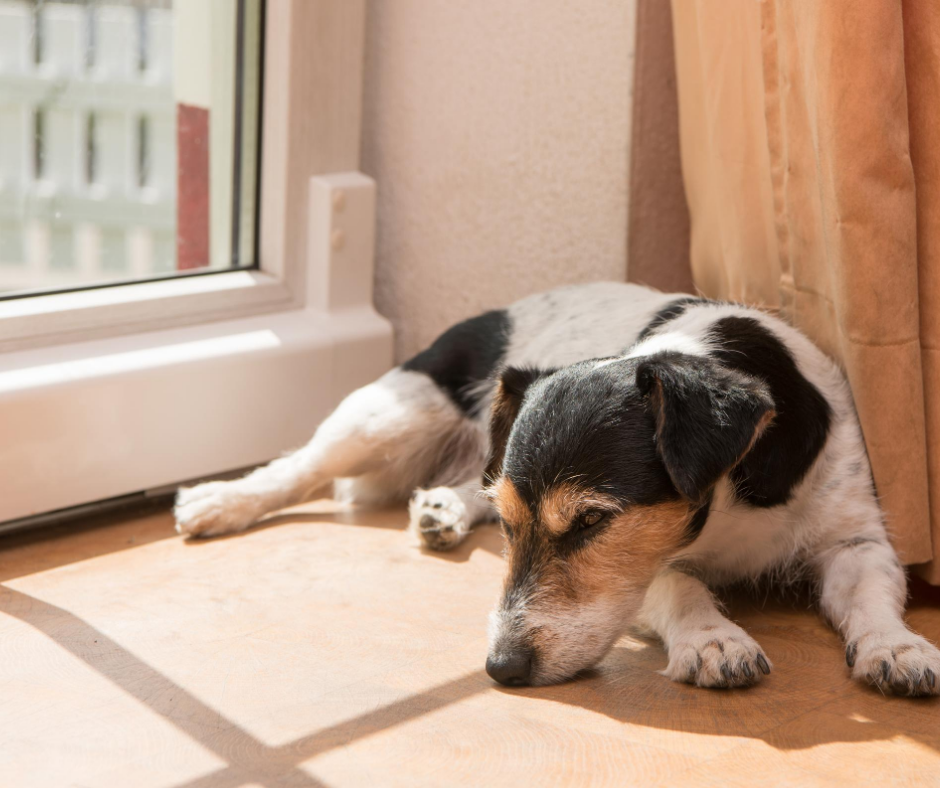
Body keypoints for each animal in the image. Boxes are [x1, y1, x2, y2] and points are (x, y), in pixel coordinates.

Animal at [174, 282, 940, 696]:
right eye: (520, 529)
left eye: (591, 522)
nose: (500, 667)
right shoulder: (645, 574)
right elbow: (678, 584)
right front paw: (714, 638)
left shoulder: (856, 538)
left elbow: (872, 597)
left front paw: (896, 647)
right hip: (389, 413)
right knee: (301, 465)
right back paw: (219, 501)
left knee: (470, 476)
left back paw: (444, 508)